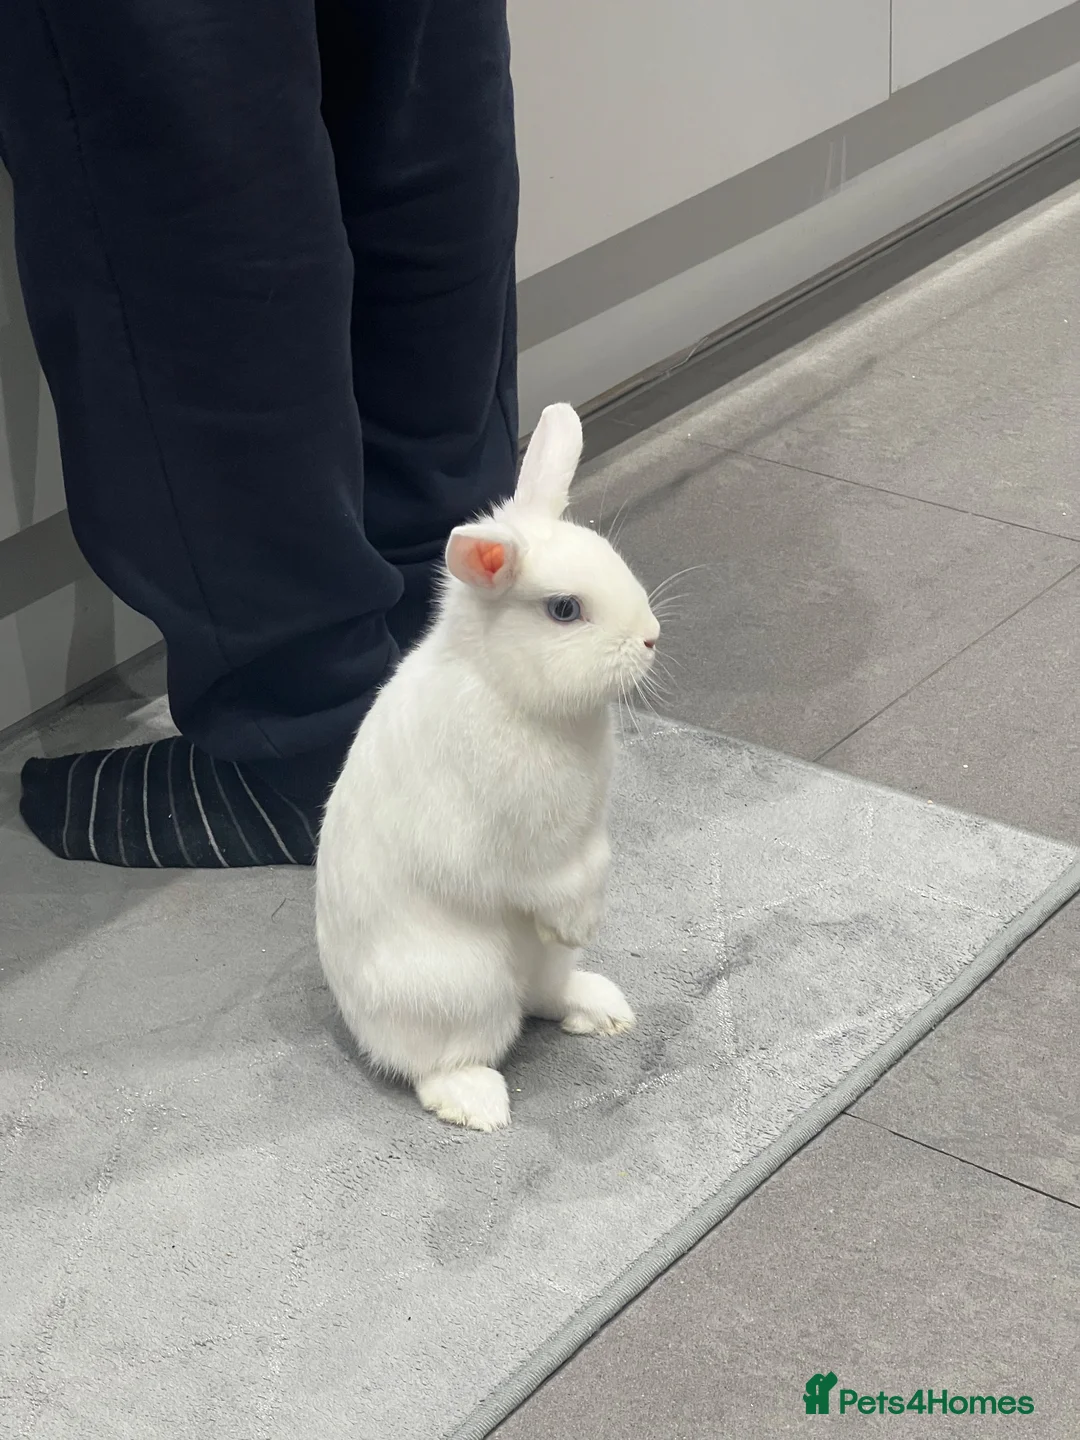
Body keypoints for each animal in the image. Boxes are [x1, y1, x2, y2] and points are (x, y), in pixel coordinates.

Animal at [315, 402, 659, 1132]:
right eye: (564, 609)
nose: (651, 637)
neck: (509, 692)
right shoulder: (516, 847)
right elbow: (541, 881)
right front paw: (576, 920)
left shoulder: (588, 836)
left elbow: (594, 867)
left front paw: (586, 923)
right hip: (460, 988)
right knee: (437, 1062)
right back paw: (479, 1103)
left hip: (530, 974)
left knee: (544, 998)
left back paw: (603, 1009)